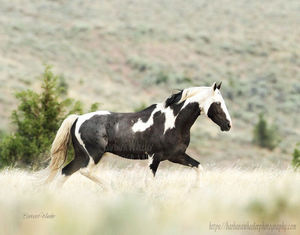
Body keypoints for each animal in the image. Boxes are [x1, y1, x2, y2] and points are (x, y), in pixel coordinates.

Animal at [44, 81, 232, 186]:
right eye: (218, 103)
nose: (228, 125)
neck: (173, 121)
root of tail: (77, 119)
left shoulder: (176, 156)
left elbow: (199, 167)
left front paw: (193, 191)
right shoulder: (155, 157)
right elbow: (148, 183)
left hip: (81, 155)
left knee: (65, 172)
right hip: (92, 155)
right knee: (84, 172)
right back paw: (111, 188)